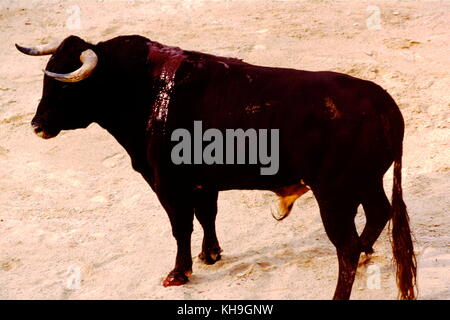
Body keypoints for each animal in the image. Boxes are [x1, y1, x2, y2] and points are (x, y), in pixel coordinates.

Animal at [14, 35, 418, 300]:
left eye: (66, 88)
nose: (37, 125)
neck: (140, 88)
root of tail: (384, 104)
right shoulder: (202, 183)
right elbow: (207, 216)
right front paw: (210, 255)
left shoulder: (166, 184)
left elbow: (181, 227)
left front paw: (179, 273)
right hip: (367, 181)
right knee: (378, 214)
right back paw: (367, 252)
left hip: (334, 193)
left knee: (345, 247)